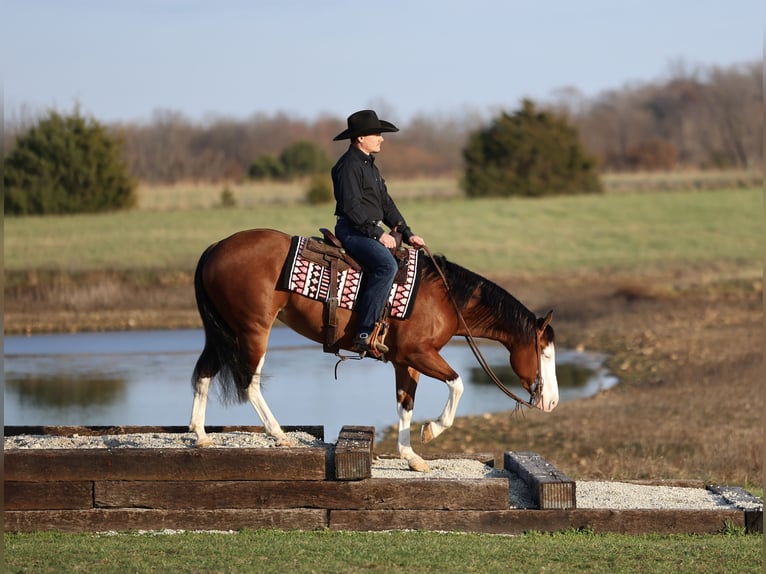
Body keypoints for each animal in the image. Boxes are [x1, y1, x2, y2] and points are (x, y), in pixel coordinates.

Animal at [189, 228, 558, 472]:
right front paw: (433, 429)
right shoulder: (418, 354)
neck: (444, 298)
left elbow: (405, 405)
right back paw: (280, 436)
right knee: (248, 383)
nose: (552, 402)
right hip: (253, 331)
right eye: (546, 353)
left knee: (204, 373)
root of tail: (216, 247)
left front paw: (412, 457)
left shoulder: (405, 362)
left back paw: (201, 435)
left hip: (225, 332)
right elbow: (457, 384)